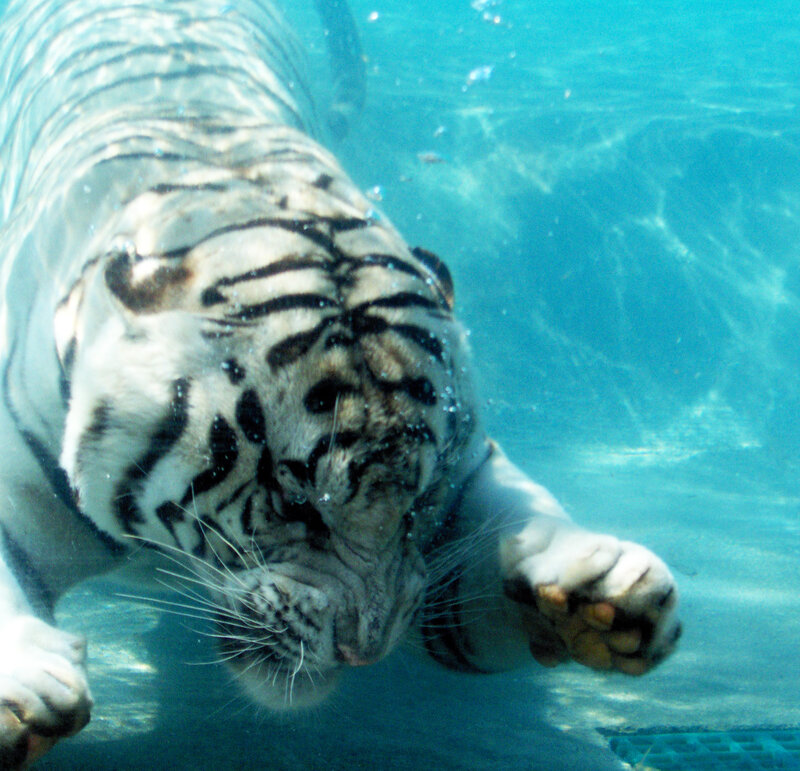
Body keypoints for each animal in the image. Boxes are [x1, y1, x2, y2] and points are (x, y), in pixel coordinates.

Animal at [0, 0, 681, 767]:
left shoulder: (459, 496)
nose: (365, 648)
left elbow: (512, 520)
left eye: (417, 507)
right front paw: (27, 689)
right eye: (299, 505)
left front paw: (601, 593)